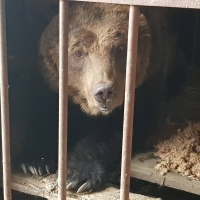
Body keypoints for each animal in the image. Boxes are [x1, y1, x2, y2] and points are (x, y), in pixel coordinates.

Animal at [5, 0, 184, 194]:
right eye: (78, 52)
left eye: (120, 47)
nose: (104, 92)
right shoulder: (47, 82)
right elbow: (44, 112)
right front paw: (35, 161)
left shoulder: (145, 83)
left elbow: (121, 129)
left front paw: (76, 175)